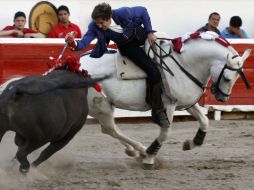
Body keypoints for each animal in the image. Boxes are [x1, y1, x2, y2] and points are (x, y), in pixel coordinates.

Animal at [80, 31, 252, 168]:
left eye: (238, 77)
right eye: (228, 78)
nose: (223, 98)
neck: (184, 64)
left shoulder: (186, 103)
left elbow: (205, 121)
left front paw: (191, 143)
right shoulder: (168, 105)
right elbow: (165, 132)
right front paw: (150, 157)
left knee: (109, 129)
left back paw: (134, 151)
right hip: (100, 106)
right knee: (111, 129)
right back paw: (141, 151)